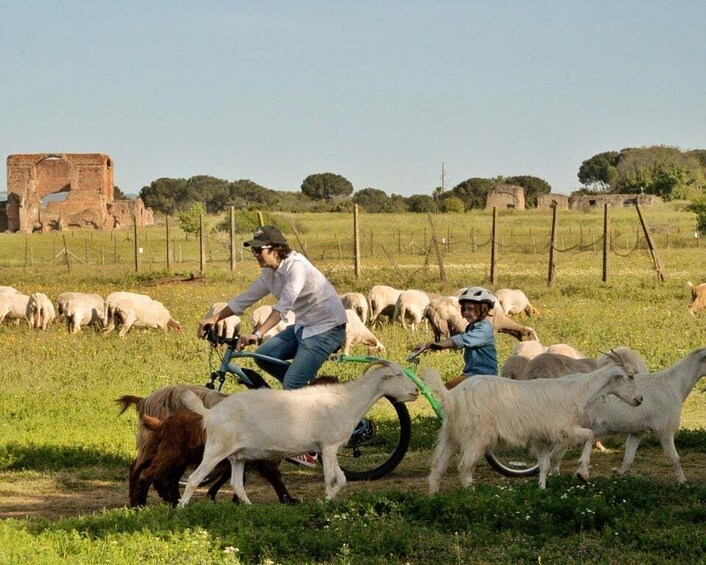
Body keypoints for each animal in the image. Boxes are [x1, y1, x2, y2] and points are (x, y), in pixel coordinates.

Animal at [176, 364, 418, 504]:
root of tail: (210, 412)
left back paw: (249, 507)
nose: (416, 391)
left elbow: (341, 479)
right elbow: (332, 478)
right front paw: (325, 502)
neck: (347, 401)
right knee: (194, 479)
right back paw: (181, 509)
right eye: (397, 375)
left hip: (238, 456)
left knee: (237, 484)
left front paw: (327, 500)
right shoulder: (328, 447)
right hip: (216, 449)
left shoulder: (328, 449)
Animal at [420, 364, 640, 492]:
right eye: (629, 377)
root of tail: (452, 396)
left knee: (437, 466)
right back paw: (472, 494)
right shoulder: (563, 428)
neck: (577, 391)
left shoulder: (542, 437)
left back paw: (434, 497)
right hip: (475, 435)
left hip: (451, 435)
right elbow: (590, 435)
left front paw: (542, 488)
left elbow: (544, 464)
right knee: (464, 466)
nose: (639, 399)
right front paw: (583, 473)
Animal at [576, 346, 704, 482]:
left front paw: (619, 476)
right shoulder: (665, 431)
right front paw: (682, 481)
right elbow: (674, 458)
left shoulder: (637, 432)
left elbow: (628, 459)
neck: (672, 386)